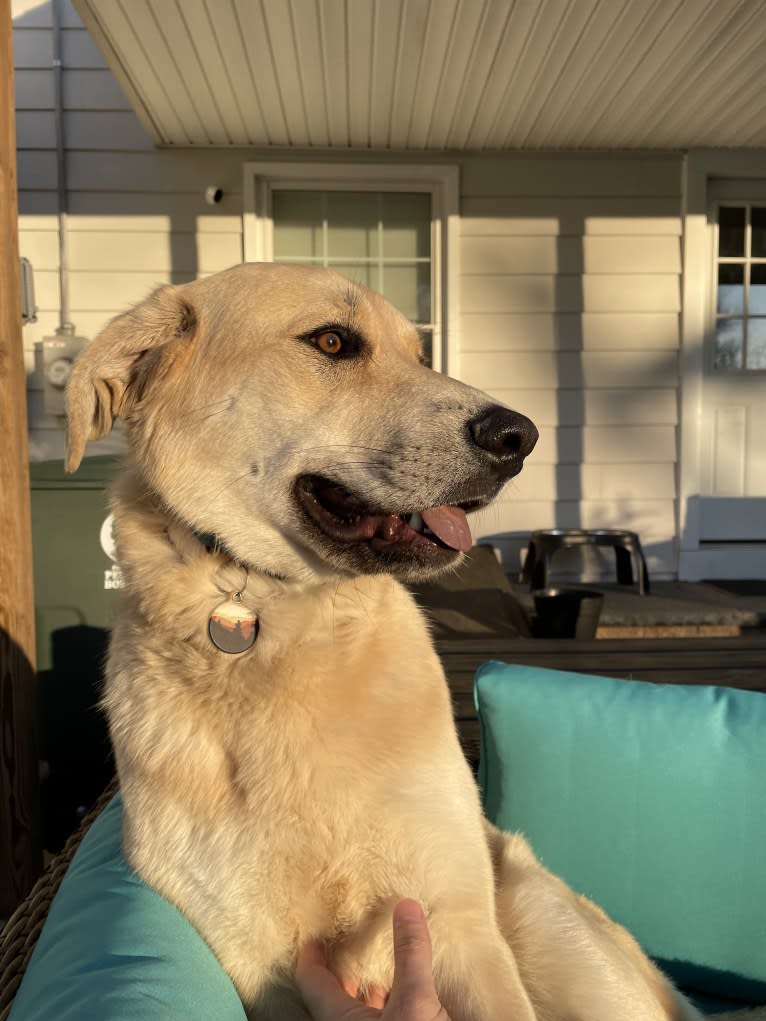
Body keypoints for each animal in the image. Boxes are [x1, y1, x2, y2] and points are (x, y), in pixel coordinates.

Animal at [65, 265, 755, 1021]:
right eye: (332, 342)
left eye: (419, 356)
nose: (520, 436)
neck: (285, 621)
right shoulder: (262, 968)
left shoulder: (457, 922)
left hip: (549, 925)